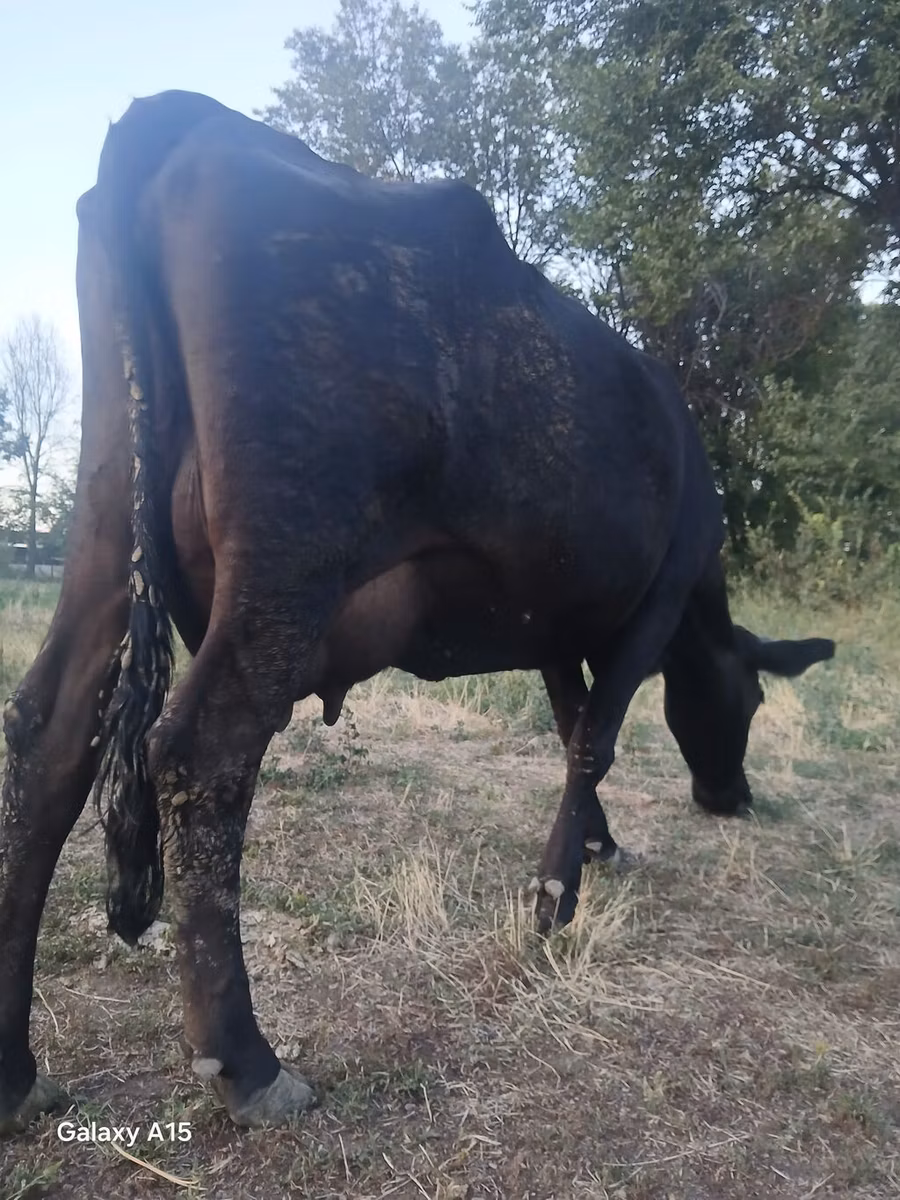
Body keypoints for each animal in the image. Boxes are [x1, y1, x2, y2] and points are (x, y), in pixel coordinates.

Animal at [0, 90, 834, 1134]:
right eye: (753, 702)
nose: (732, 798)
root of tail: (186, 116)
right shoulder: (659, 596)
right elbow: (598, 737)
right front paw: (554, 899)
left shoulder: (550, 618)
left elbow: (572, 725)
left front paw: (592, 845)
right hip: (289, 558)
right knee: (203, 752)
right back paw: (247, 1064)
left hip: (109, 524)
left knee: (49, 736)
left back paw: (13, 1073)